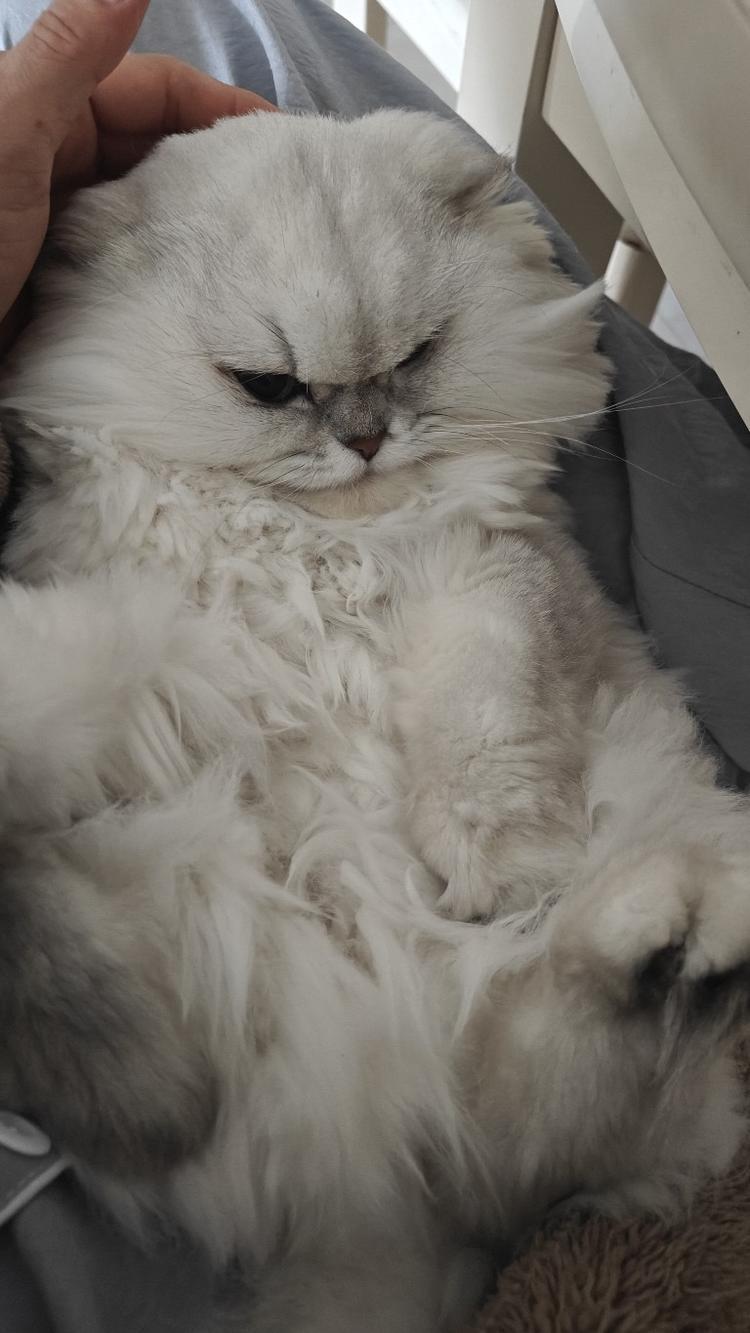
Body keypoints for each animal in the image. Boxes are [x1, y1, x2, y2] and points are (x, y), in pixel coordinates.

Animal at [0, 109, 749, 1333]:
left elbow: (483, 726)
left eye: (412, 361)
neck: (329, 537)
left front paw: (492, 863)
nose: (364, 440)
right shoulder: (143, 629)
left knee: (543, 1121)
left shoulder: (497, 578)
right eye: (269, 387)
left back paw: (676, 933)